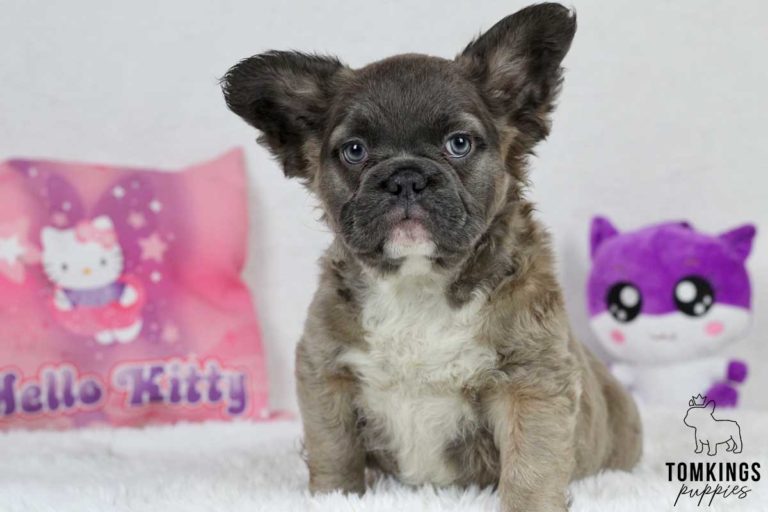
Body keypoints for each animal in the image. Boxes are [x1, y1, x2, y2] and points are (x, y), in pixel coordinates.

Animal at [220, 3, 640, 508]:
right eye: (354, 151)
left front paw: (530, 504)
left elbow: (532, 467)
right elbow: (334, 450)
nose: (405, 177)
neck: (418, 282)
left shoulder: (531, 383)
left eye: (458, 143)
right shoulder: (326, 375)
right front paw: (335, 498)